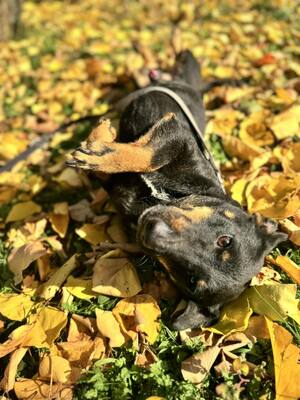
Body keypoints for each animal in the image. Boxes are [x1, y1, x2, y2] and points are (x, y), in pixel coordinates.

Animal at [67, 51, 288, 330]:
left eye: (191, 280)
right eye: (225, 240)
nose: (153, 230)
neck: (159, 196)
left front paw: (98, 148)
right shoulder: (177, 135)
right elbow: (149, 155)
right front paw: (100, 142)